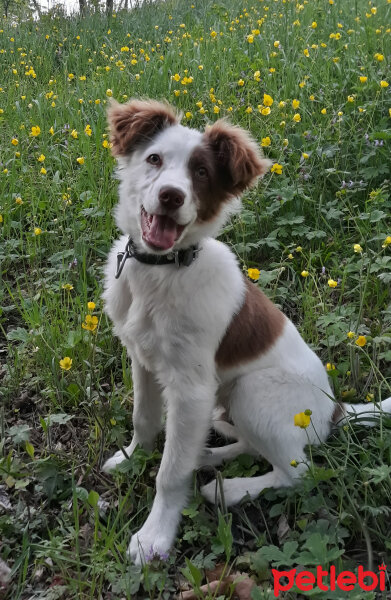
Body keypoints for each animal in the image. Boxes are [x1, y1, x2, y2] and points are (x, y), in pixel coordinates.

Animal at [102, 97, 391, 564]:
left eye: (201, 172)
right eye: (154, 159)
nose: (171, 196)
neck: (163, 272)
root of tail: (335, 410)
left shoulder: (191, 389)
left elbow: (170, 472)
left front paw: (155, 536)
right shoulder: (141, 358)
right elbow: (143, 418)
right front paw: (132, 457)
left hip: (251, 391)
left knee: (297, 472)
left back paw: (231, 489)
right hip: (229, 406)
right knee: (255, 447)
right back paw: (210, 454)